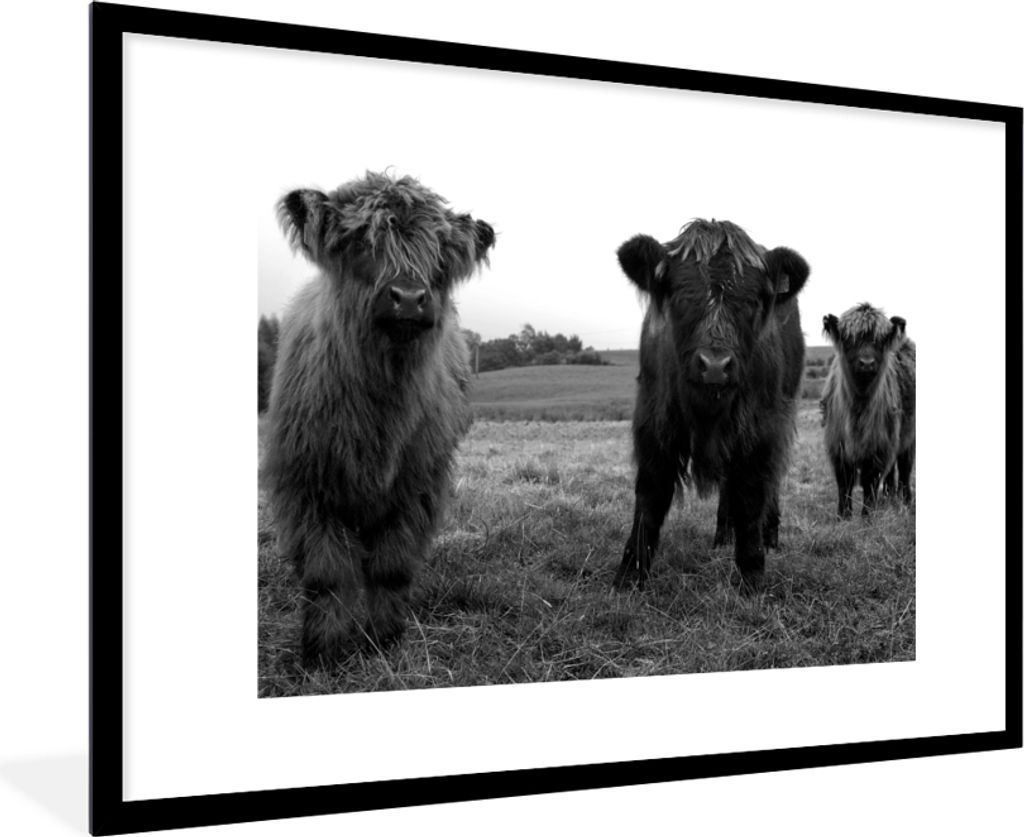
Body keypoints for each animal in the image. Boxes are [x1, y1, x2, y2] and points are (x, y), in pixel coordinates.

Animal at [261, 171, 495, 667]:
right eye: (361, 243)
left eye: (437, 255)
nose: (408, 298)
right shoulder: (305, 486)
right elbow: (325, 574)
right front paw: (323, 651)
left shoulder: (416, 487)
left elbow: (391, 566)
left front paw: (385, 638)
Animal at [612, 219, 810, 592]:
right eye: (680, 295)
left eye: (752, 300)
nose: (715, 365)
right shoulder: (654, 422)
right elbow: (650, 496)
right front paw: (630, 573)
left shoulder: (761, 429)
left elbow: (751, 496)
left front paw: (751, 573)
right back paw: (722, 535)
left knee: (769, 483)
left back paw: (769, 535)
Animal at [821, 303, 916, 518]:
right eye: (850, 340)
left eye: (879, 341)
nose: (866, 363)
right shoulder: (837, 446)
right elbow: (844, 483)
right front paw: (843, 516)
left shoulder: (878, 447)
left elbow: (870, 482)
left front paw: (867, 516)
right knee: (893, 471)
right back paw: (889, 498)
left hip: (909, 435)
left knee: (905, 468)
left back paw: (906, 501)